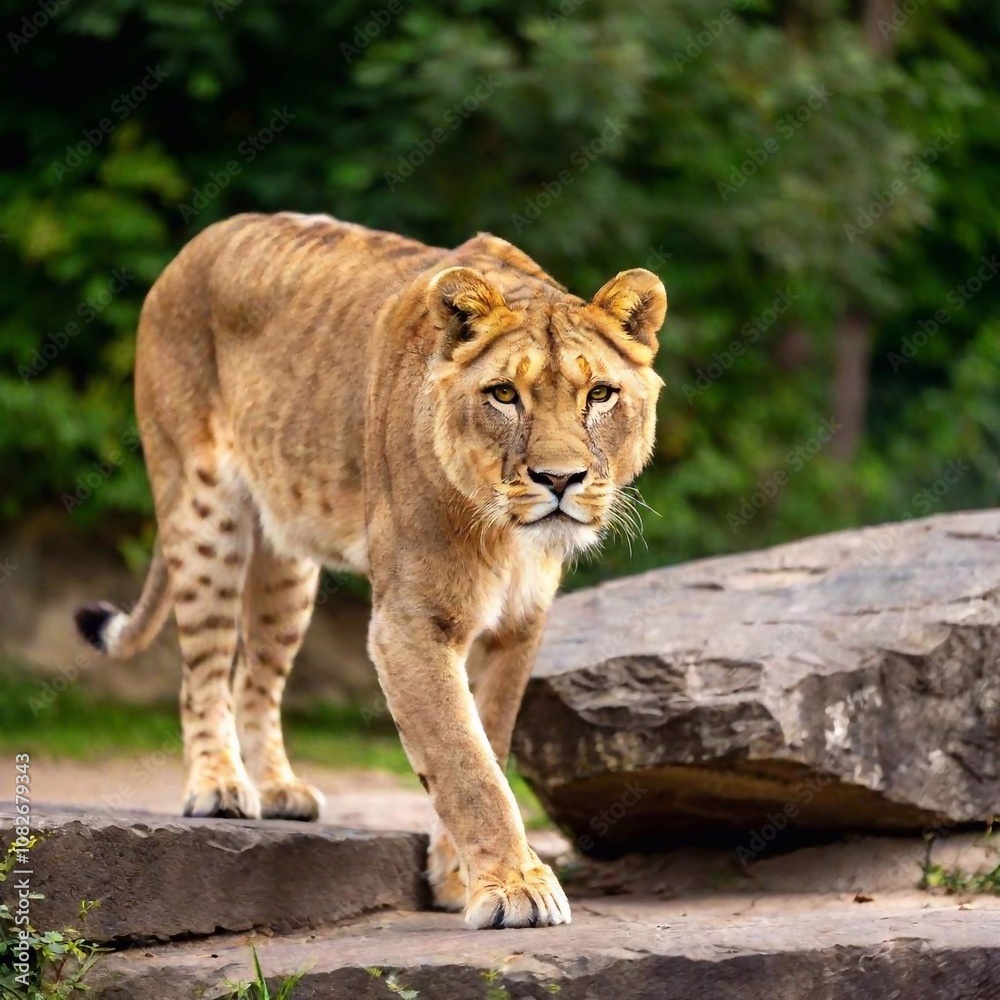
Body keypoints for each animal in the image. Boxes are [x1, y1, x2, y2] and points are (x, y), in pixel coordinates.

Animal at [74, 211, 667, 929]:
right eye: (504, 394)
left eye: (600, 394)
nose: (560, 480)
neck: (505, 537)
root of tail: (200, 241)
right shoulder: (409, 623)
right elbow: (466, 761)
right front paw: (514, 888)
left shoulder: (518, 625)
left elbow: (488, 740)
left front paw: (457, 876)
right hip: (203, 512)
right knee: (204, 674)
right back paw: (219, 788)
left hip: (288, 564)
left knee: (255, 678)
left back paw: (279, 790)